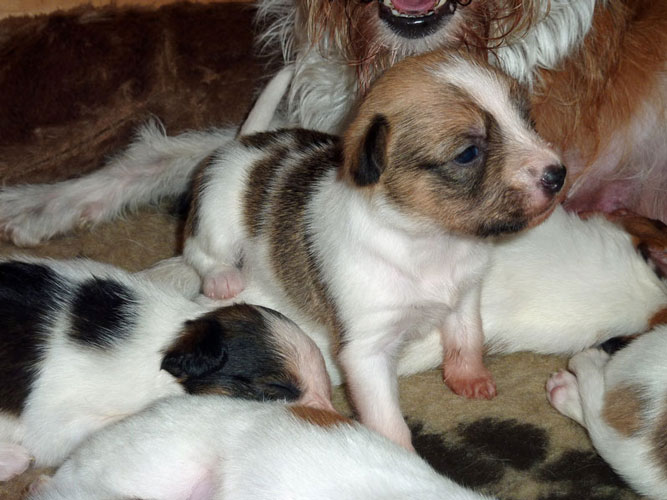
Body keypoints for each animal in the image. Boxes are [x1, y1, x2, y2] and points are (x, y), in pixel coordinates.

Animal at [174, 49, 567, 449]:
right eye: (468, 153)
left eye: (528, 120)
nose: (558, 174)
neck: (434, 241)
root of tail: (248, 141)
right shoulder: (368, 351)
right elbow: (387, 420)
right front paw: (399, 455)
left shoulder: (466, 296)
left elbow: (468, 338)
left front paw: (469, 377)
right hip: (216, 220)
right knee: (199, 250)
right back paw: (222, 278)